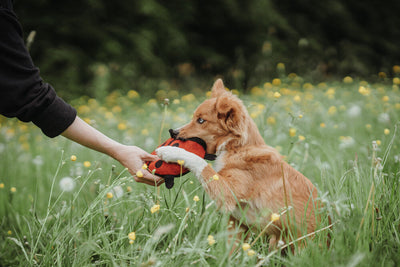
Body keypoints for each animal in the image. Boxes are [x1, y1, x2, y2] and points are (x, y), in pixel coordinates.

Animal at [157, 79, 322, 253]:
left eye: (201, 120)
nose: (172, 132)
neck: (237, 148)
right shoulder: (236, 224)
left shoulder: (226, 193)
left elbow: (200, 162)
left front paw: (171, 151)